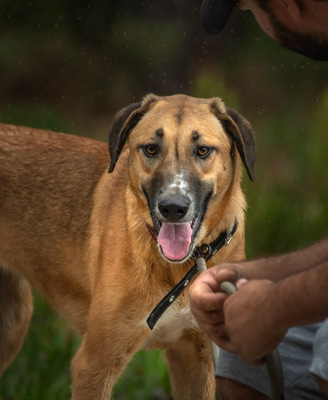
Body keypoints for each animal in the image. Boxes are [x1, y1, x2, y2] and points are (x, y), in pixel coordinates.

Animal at [0, 94, 256, 400]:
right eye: (151, 149)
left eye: (203, 150)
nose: (172, 208)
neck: (181, 267)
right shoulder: (95, 363)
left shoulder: (197, 358)